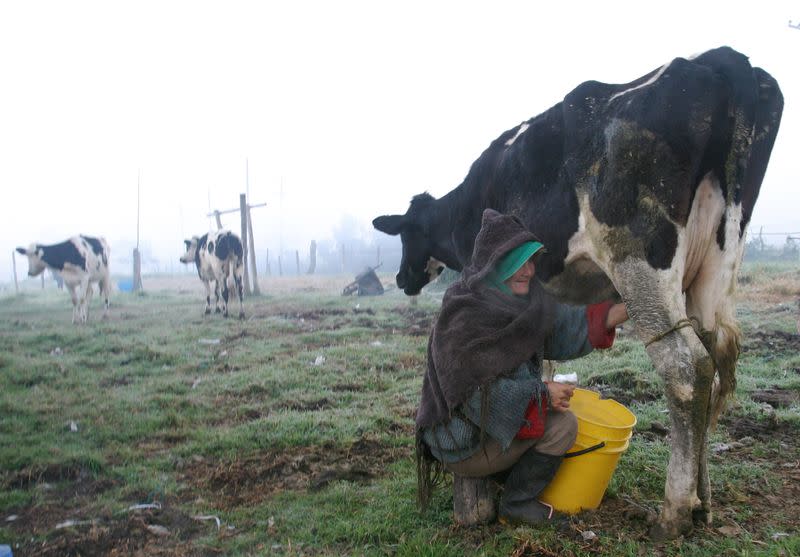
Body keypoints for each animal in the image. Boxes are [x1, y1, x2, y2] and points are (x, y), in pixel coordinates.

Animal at [374, 47, 780, 540]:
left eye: (405, 234)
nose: (401, 278)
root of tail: (724, 59)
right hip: (714, 269)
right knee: (714, 363)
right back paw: (702, 502)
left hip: (639, 258)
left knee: (687, 368)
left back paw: (674, 512)